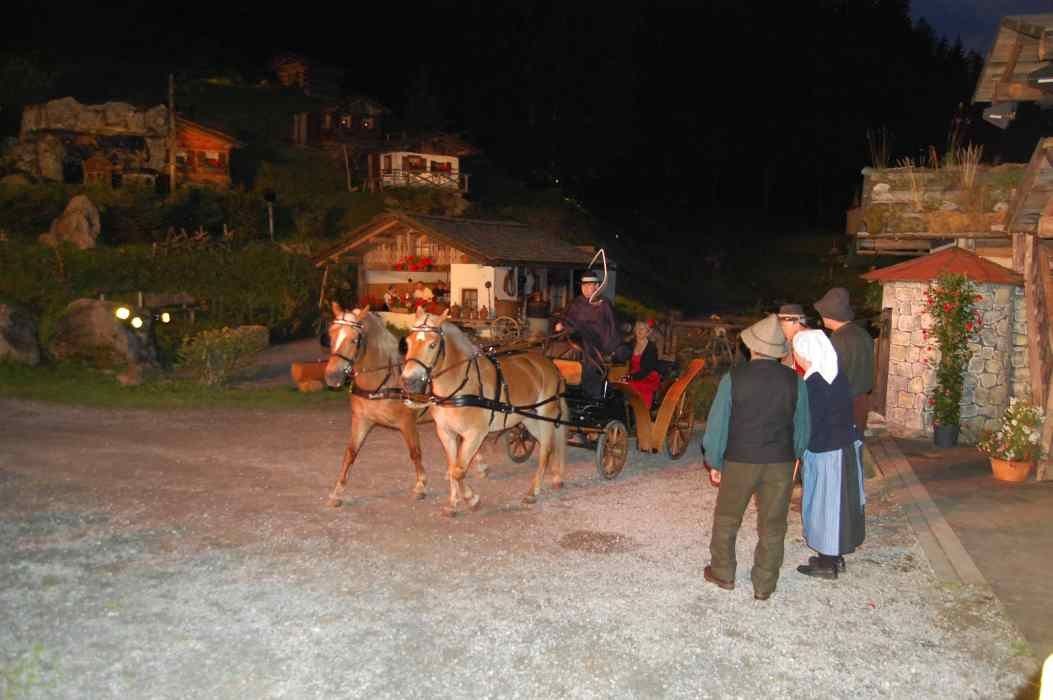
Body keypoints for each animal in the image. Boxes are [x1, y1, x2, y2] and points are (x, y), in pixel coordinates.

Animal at [323, 302, 428, 507]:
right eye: (331, 335)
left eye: (354, 339)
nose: (332, 376)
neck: (384, 380)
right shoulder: (361, 420)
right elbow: (351, 453)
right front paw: (337, 492)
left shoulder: (408, 424)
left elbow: (415, 452)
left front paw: (420, 486)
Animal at [400, 307, 568, 514]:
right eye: (407, 343)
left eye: (432, 344)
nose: (408, 381)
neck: (459, 387)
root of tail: (549, 364)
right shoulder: (446, 433)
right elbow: (452, 467)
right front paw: (453, 503)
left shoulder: (475, 434)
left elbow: (459, 471)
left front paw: (471, 499)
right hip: (528, 419)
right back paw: (553, 478)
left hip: (546, 415)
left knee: (547, 448)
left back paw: (533, 492)